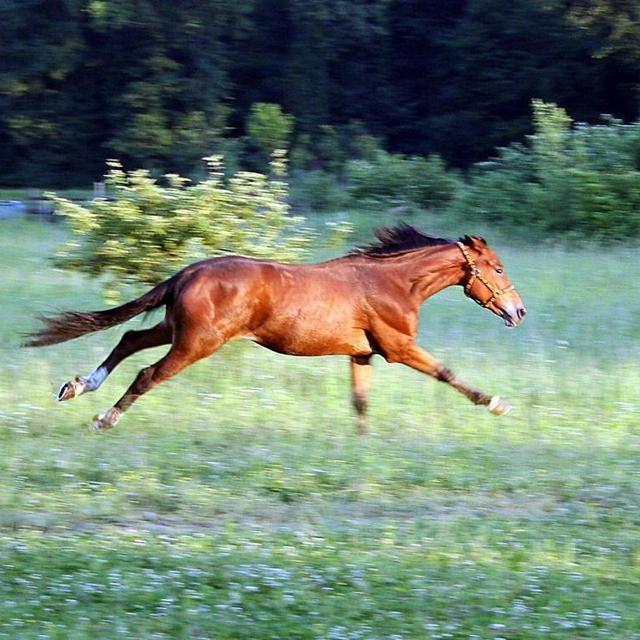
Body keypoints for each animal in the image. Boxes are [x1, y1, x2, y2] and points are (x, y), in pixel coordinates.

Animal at [25, 225, 524, 436]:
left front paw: (361, 446)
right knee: (147, 374)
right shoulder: (399, 347)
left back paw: (76, 387)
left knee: (129, 340)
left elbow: (360, 402)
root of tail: (188, 272)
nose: (518, 312)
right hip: (197, 342)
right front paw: (497, 403)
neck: (393, 283)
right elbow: (448, 373)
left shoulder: (361, 354)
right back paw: (104, 418)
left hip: (175, 329)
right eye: (498, 268)